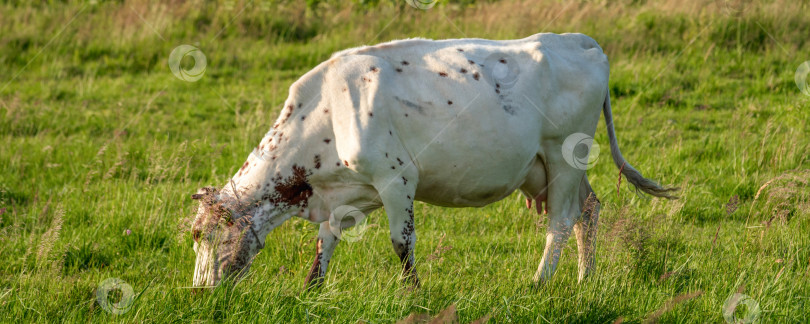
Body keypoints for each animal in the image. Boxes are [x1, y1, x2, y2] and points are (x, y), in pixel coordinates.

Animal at [189, 32, 676, 288]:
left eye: (206, 237)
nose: (198, 293)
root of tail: (579, 41)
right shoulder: (345, 194)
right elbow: (325, 243)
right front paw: (312, 289)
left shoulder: (396, 178)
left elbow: (401, 243)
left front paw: (414, 294)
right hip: (546, 167)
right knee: (589, 210)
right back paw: (584, 279)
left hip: (563, 154)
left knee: (561, 220)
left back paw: (539, 282)